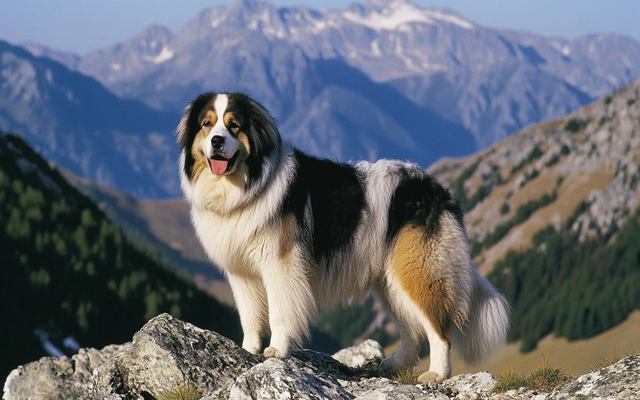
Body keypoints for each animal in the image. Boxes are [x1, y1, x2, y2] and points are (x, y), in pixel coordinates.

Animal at [176, 92, 510, 382]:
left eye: (234, 125)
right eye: (207, 124)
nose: (217, 141)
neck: (249, 185)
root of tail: (436, 190)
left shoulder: (280, 266)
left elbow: (281, 312)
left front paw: (276, 351)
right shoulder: (242, 274)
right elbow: (250, 318)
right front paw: (248, 350)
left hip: (418, 271)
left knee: (439, 330)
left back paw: (437, 374)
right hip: (390, 281)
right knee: (412, 328)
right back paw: (396, 363)